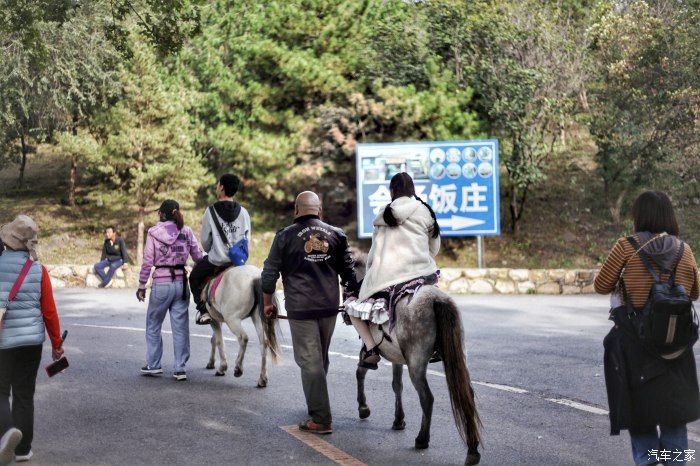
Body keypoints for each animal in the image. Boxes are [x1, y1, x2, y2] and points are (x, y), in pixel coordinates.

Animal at [350, 251, 482, 466]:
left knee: (427, 398)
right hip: (456, 356)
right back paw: (472, 450)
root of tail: (436, 299)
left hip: (416, 365)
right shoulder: (396, 358)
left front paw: (363, 408)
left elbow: (360, 372)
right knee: (467, 395)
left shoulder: (370, 352)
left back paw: (422, 439)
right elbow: (397, 385)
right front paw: (398, 420)